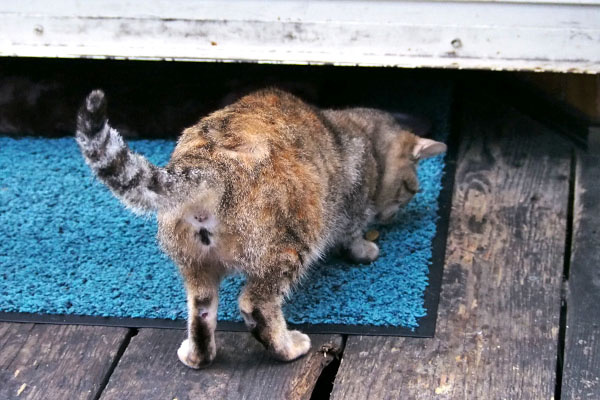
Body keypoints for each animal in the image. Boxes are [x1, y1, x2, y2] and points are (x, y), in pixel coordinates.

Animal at [74, 88, 446, 368]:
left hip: (195, 264)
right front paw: (366, 248)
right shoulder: (350, 208)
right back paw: (288, 347)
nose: (393, 215)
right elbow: (352, 234)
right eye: (411, 189)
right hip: (290, 246)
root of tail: (208, 166)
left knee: (201, 311)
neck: (359, 133)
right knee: (255, 304)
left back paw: (198, 355)